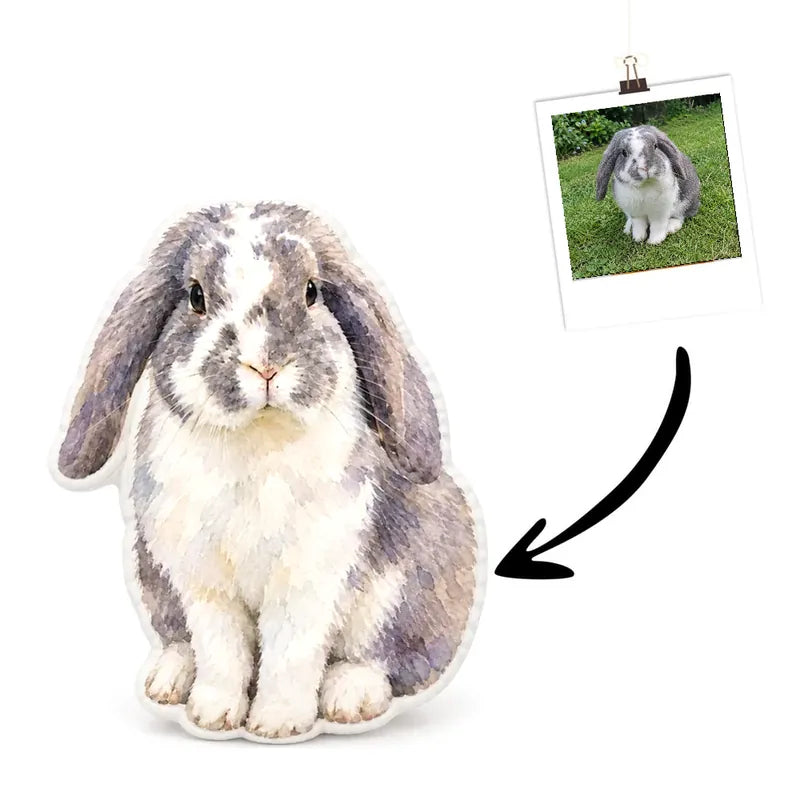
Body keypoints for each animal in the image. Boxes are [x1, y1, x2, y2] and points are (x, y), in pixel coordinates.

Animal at [55, 202, 481, 741]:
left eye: (312, 291)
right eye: (195, 295)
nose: (265, 366)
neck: (257, 438)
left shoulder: (310, 573)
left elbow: (290, 651)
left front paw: (277, 724)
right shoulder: (203, 579)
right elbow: (222, 649)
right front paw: (214, 715)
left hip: (414, 587)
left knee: (389, 657)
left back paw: (351, 696)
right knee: (182, 640)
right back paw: (168, 678)